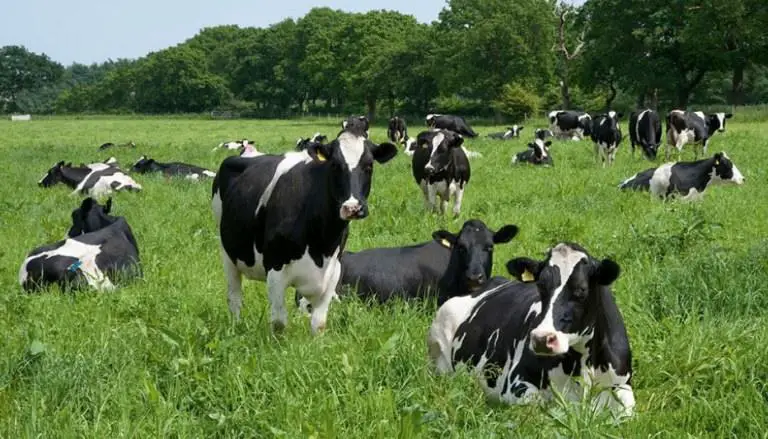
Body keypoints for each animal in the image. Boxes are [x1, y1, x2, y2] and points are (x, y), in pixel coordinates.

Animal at [211, 120, 398, 334]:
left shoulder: (333, 272)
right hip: (227, 252)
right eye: (334, 165)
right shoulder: (275, 268)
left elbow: (319, 324)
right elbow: (279, 323)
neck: (321, 242)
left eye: (369, 165)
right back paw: (235, 327)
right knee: (234, 296)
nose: (352, 208)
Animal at [427, 242, 635, 418]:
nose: (542, 339)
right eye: (541, 286)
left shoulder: (623, 386)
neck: (584, 363)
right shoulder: (516, 383)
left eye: (581, 290)